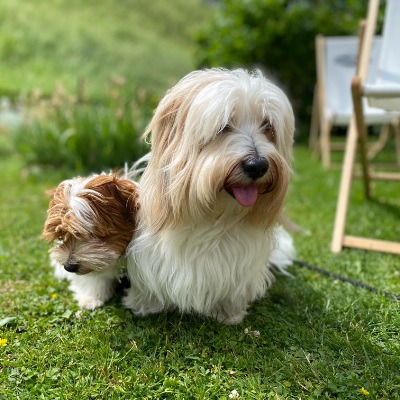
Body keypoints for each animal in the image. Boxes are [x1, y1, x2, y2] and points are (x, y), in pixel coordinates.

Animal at [123, 68, 296, 324]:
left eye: (268, 126)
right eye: (224, 126)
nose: (257, 165)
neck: (214, 219)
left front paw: (227, 313)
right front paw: (145, 304)